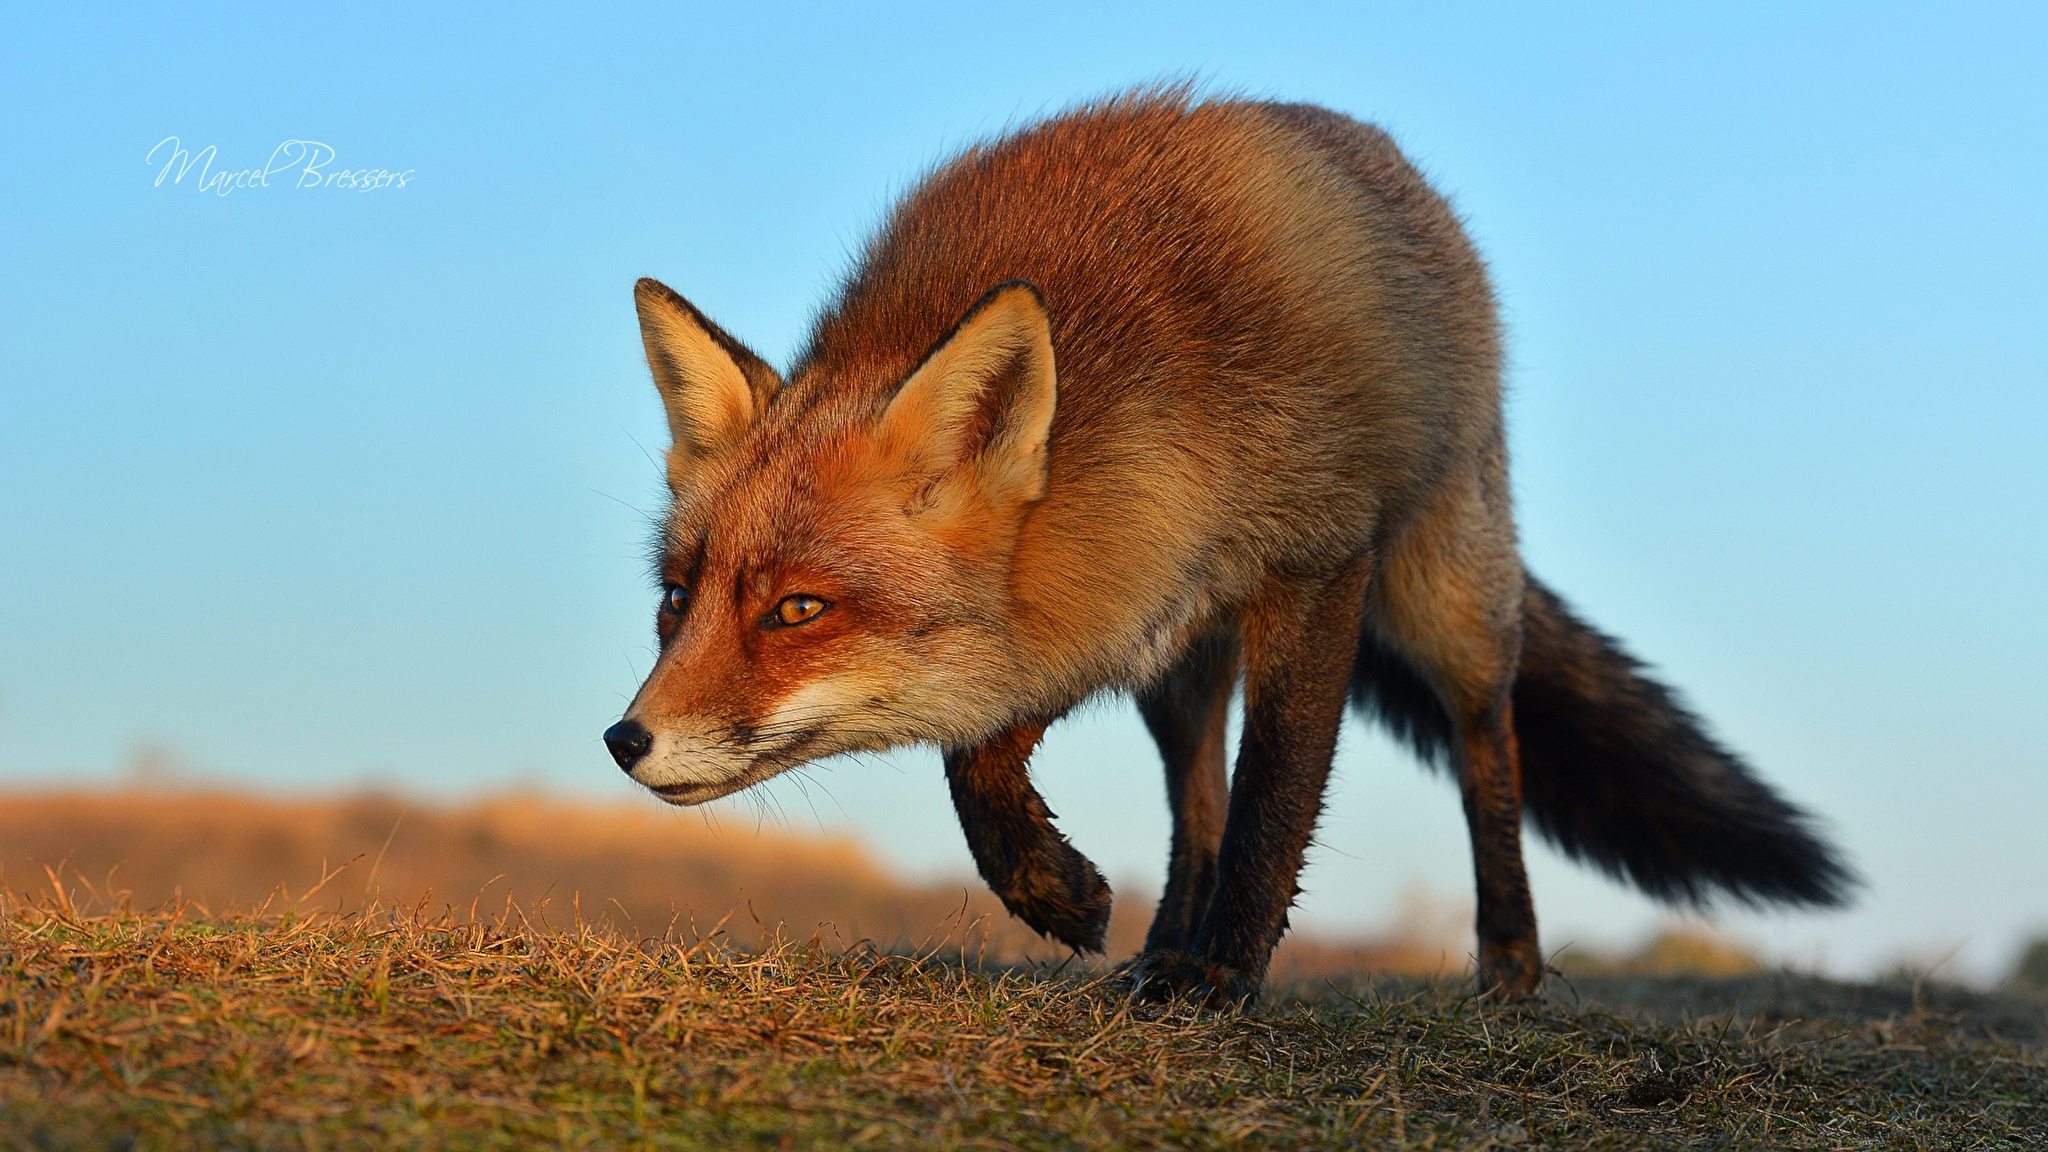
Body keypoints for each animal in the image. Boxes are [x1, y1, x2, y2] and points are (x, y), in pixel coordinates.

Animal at [598, 89, 1859, 1000]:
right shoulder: (1113, 594)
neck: (1161, 424)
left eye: (796, 609)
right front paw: (1057, 894)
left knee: (1484, 746)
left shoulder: (1310, 563)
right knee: (1189, 796)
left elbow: (1275, 794)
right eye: (675, 599)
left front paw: (1228, 978)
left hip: (1446, 596)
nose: (623, 740)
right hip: (1183, 660)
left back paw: (1505, 965)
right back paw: (1161, 946)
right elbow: (987, 762)